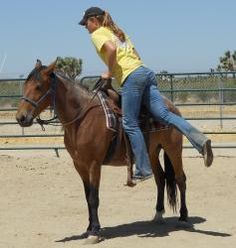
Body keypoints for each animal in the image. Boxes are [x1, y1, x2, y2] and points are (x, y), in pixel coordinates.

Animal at [15, 59, 188, 242]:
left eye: (38, 86)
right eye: (25, 85)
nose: (21, 117)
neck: (82, 118)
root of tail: (172, 107)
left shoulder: (94, 164)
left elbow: (94, 197)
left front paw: (95, 231)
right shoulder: (79, 165)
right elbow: (87, 196)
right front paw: (88, 228)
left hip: (173, 149)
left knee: (180, 179)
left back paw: (183, 218)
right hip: (152, 152)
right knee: (160, 178)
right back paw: (158, 214)